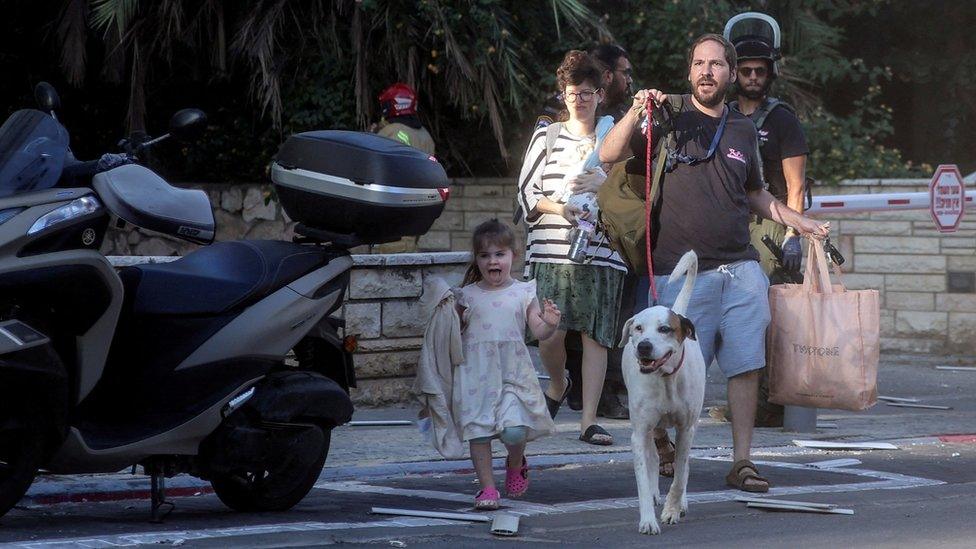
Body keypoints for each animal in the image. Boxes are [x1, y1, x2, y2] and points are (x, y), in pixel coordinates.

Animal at [620, 250, 704, 532]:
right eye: (638, 328)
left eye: (665, 329)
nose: (643, 346)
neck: (666, 379)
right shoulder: (639, 431)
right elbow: (643, 481)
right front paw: (648, 519)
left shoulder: (686, 428)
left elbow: (680, 476)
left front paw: (672, 510)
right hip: (650, 427)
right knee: (654, 456)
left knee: (684, 468)